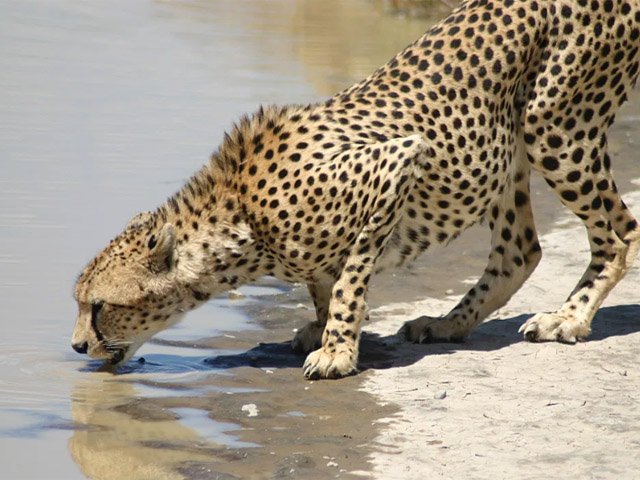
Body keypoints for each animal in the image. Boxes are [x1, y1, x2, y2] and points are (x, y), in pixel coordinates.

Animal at [72, 0, 636, 378]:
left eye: (97, 306)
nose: (77, 347)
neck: (240, 217)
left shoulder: (394, 166)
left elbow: (347, 282)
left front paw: (337, 351)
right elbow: (322, 285)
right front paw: (319, 330)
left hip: (554, 128)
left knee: (619, 232)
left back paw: (569, 318)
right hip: (505, 155)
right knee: (520, 251)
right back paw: (448, 324)